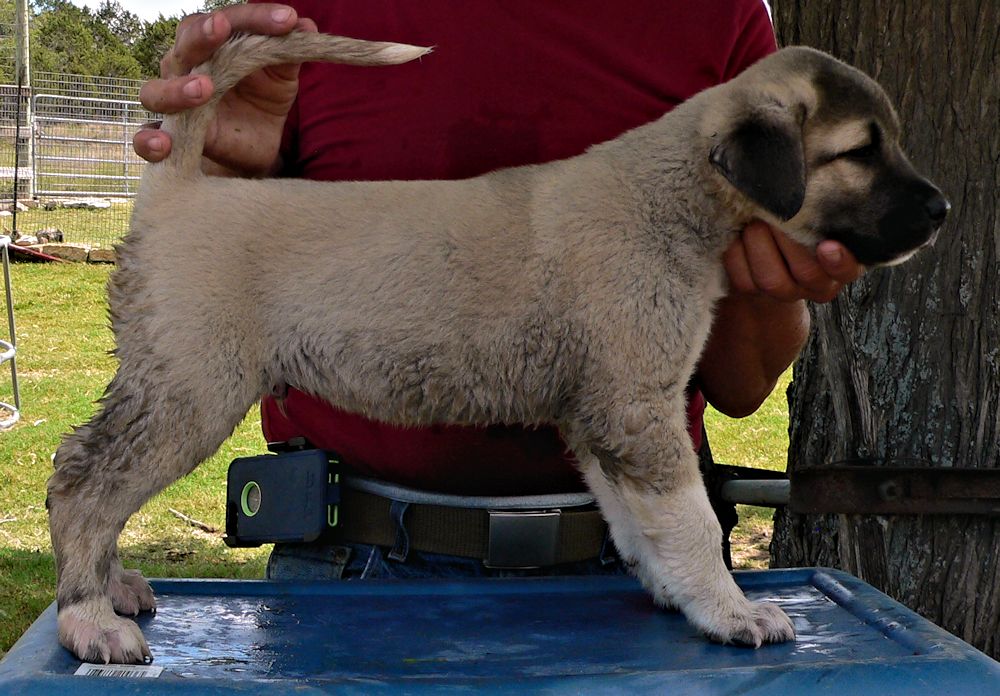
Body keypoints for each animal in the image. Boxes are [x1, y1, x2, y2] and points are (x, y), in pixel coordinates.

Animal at [48, 32, 952, 664]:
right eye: (860, 150)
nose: (942, 210)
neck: (670, 193)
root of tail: (181, 188)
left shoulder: (601, 417)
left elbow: (637, 523)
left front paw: (679, 596)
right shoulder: (638, 407)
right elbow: (689, 519)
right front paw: (729, 610)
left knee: (86, 473)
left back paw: (114, 589)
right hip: (189, 391)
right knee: (86, 486)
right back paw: (90, 619)